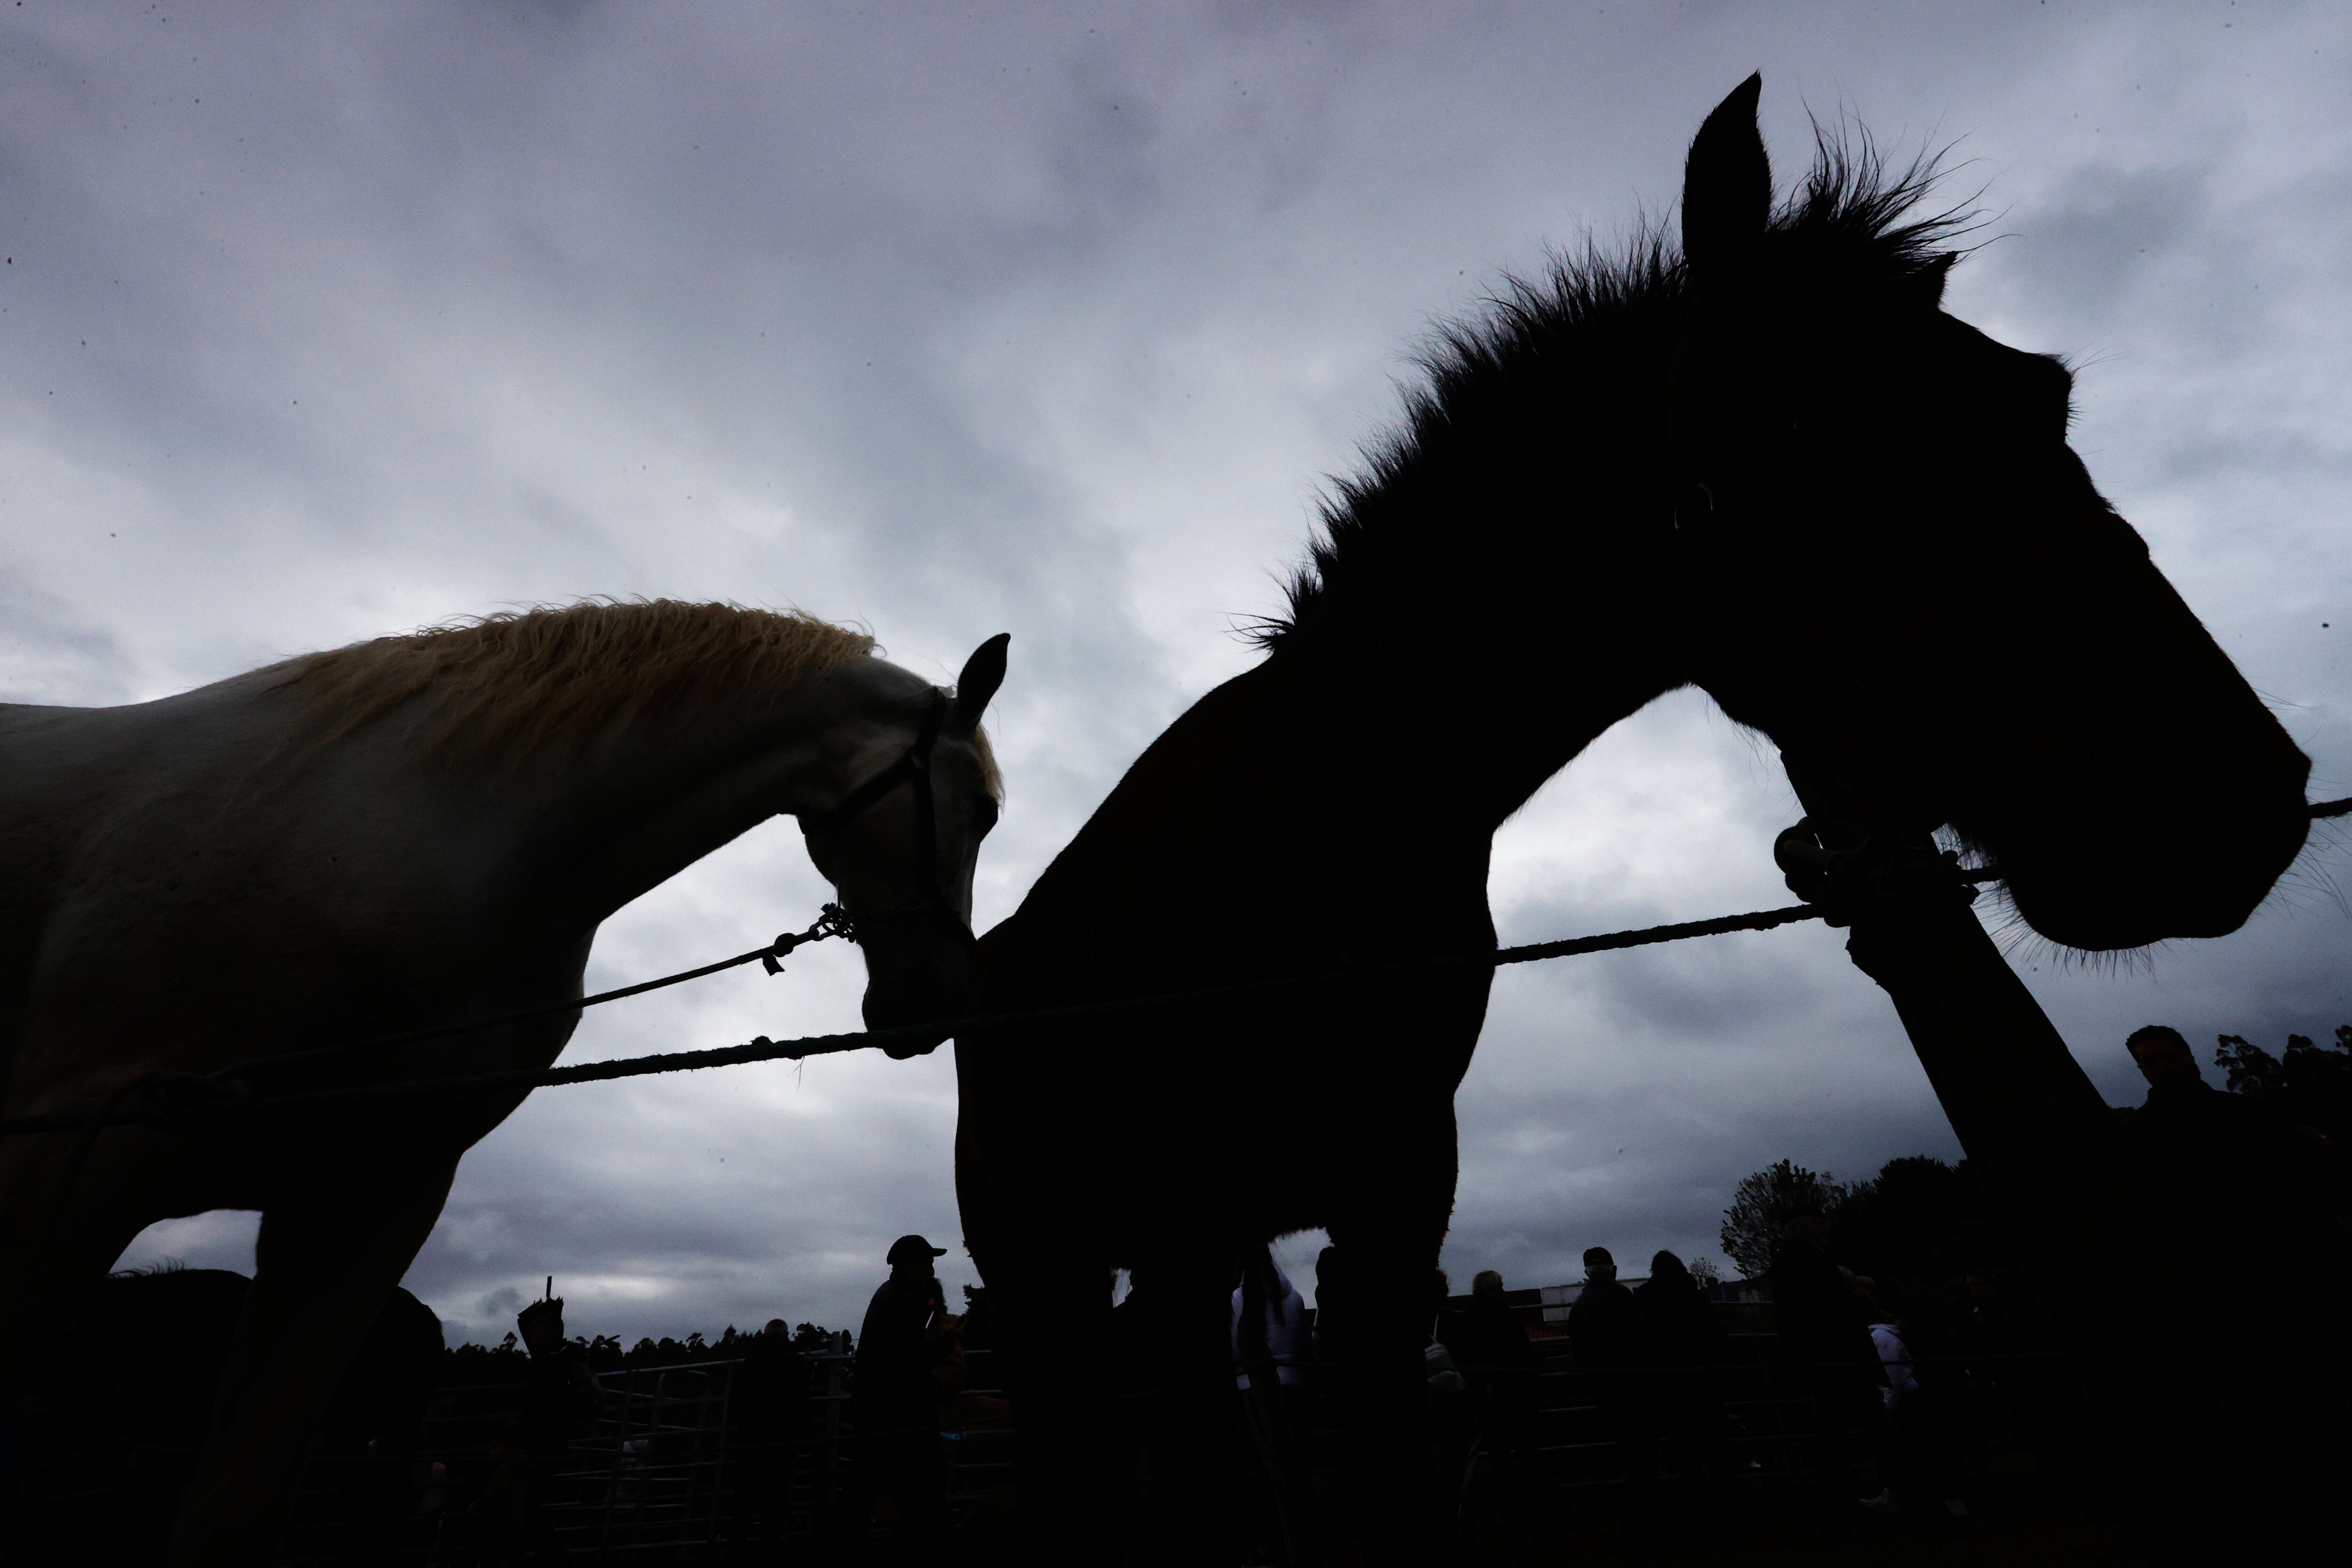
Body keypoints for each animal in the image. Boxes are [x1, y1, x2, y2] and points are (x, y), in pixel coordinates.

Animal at [0, 595, 1002, 1561]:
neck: (425, 837)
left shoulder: (367, 1194)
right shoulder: (85, 1140)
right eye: (986, 807)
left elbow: (231, 1517)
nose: (943, 998)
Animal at [960, 80, 2314, 1561]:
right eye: (1810, 424)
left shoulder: (1387, 1218)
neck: (1321, 837)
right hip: (1042, 1272)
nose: (2226, 799)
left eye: (2046, 395)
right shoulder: (1185, 1233)